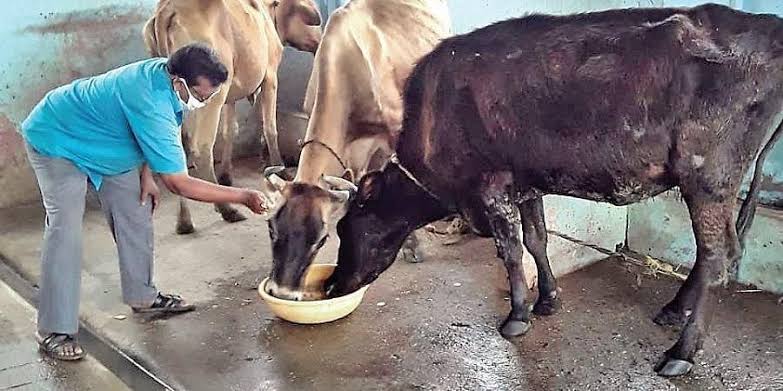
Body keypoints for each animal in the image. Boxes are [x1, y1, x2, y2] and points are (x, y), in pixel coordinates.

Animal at [322, 2, 780, 376]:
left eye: (346, 228)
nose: (331, 286)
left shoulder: (491, 186)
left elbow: (509, 252)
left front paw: (517, 315)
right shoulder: (525, 185)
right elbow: (536, 239)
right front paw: (547, 299)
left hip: (708, 177)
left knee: (718, 258)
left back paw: (681, 352)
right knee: (715, 254)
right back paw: (673, 310)